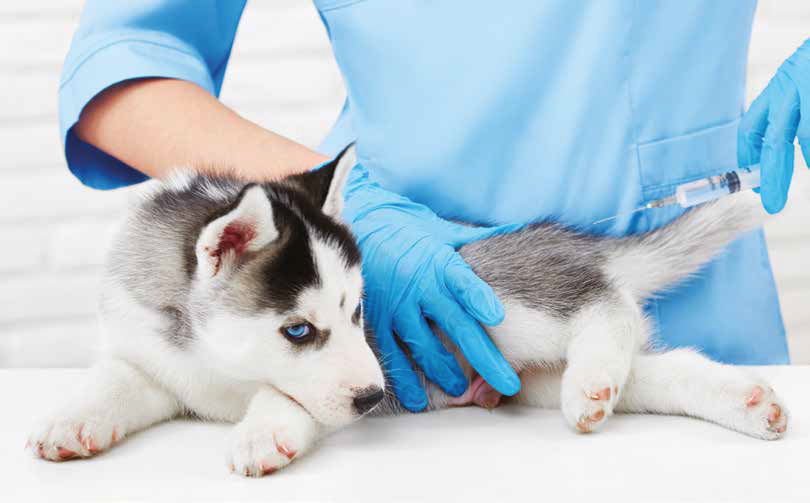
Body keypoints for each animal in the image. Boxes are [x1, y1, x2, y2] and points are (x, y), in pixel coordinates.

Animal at [28, 147, 784, 476]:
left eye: (361, 312)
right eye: (298, 328)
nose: (373, 396)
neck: (210, 362)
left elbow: (283, 394)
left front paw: (261, 431)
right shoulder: (150, 358)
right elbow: (115, 380)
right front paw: (69, 419)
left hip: (497, 302)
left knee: (605, 300)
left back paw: (595, 366)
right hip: (531, 375)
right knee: (658, 368)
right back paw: (737, 400)